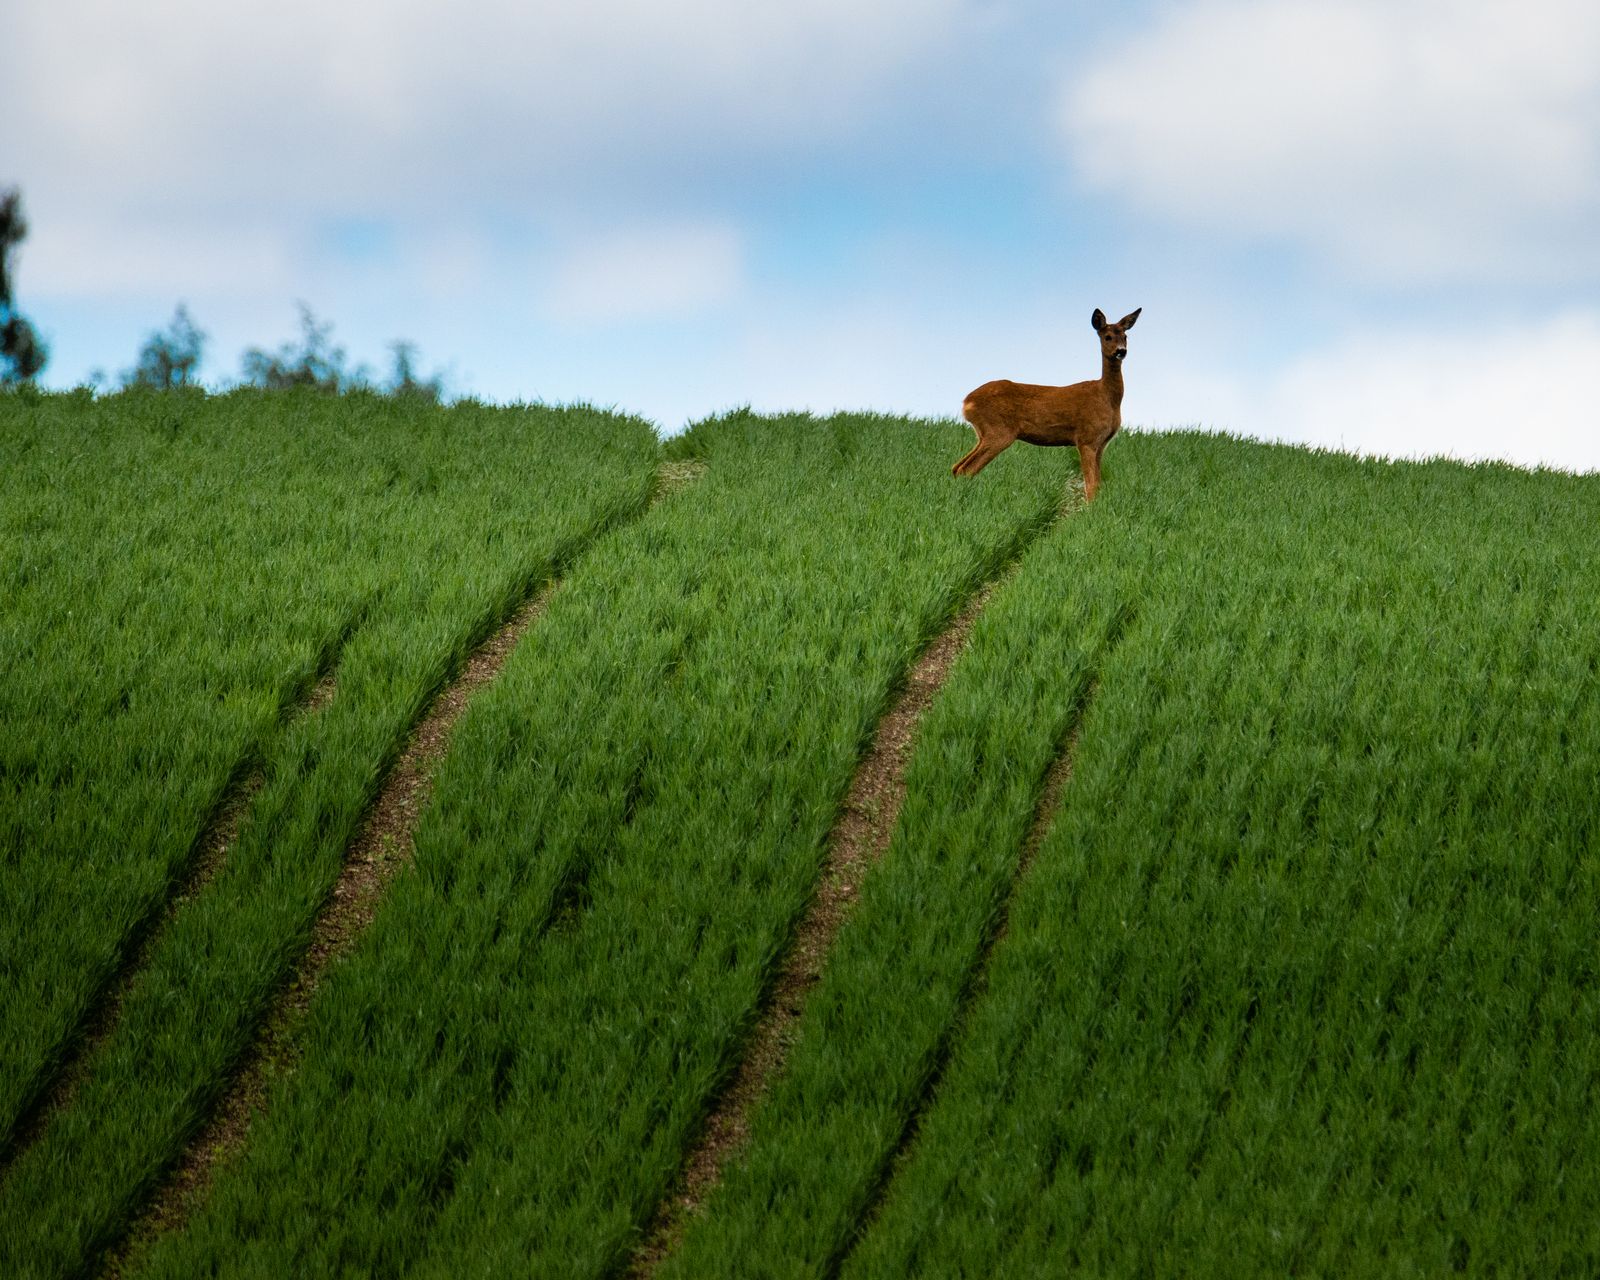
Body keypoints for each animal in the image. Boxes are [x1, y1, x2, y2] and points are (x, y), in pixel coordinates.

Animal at [952, 307, 1141, 501]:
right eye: (1107, 337)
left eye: (1125, 336)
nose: (1121, 351)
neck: (1107, 398)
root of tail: (967, 402)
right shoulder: (1086, 438)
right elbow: (1091, 485)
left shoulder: (1102, 444)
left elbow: (1098, 483)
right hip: (998, 430)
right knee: (967, 468)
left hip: (983, 433)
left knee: (957, 467)